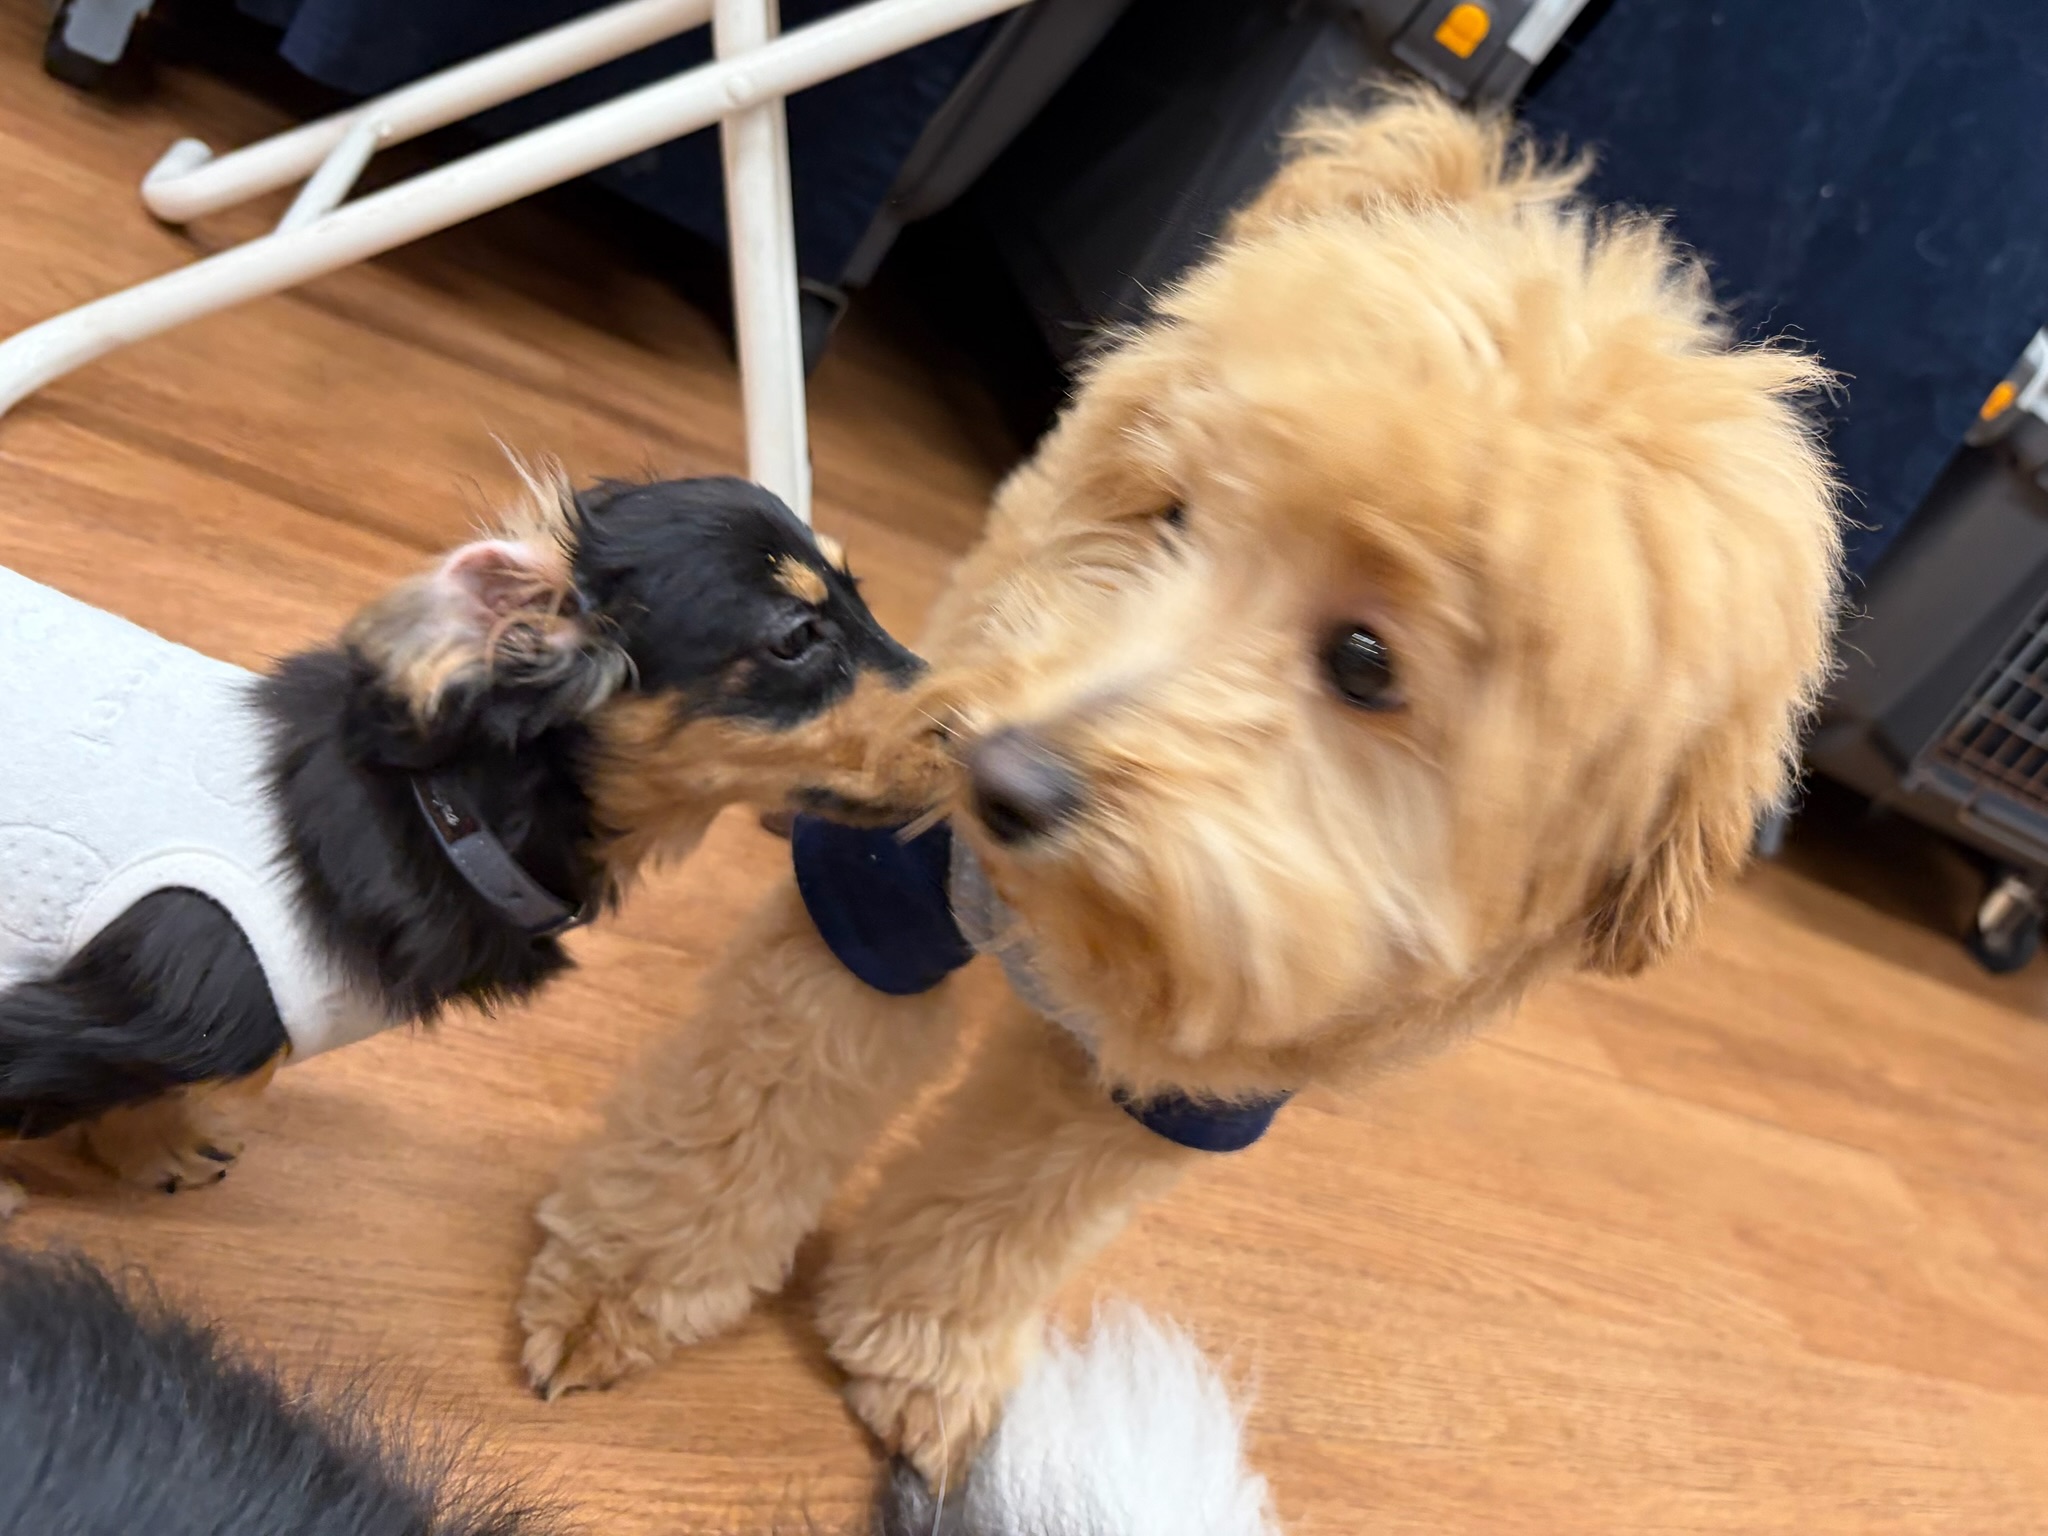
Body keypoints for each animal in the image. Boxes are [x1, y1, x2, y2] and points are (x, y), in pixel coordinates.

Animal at [0, 470, 943, 1214]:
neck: (441, 813)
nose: (980, 741)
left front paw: (151, 1145)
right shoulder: (161, 1003)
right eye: (797, 636)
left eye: (860, 597)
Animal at [516, 90, 1844, 1478]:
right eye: (1169, 517)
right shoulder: (879, 908)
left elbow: (1010, 1215)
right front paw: (622, 1285)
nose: (994, 774)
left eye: (1364, 660)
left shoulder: (1188, 1093)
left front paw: (924, 1354)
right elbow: (740, 1121)